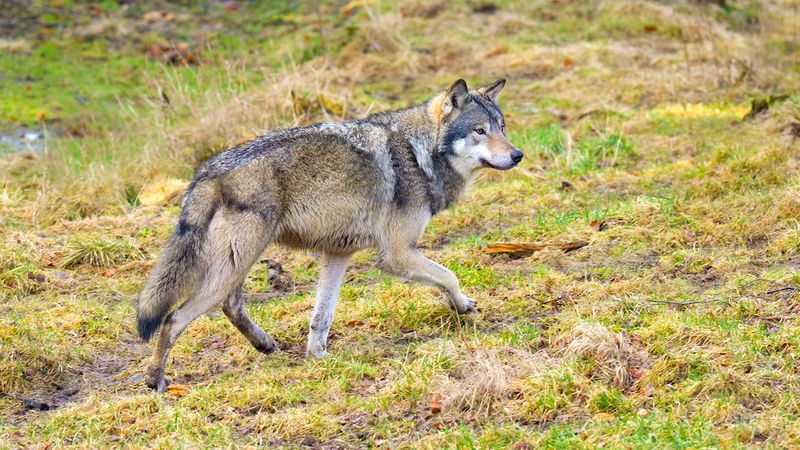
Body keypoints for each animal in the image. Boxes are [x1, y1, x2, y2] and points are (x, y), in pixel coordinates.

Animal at [136, 79, 524, 392]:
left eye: (502, 127)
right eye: (479, 131)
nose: (518, 154)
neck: (420, 154)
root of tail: (207, 171)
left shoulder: (338, 253)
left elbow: (321, 316)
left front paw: (318, 356)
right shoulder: (397, 254)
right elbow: (449, 276)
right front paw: (463, 306)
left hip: (236, 263)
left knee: (231, 306)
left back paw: (265, 345)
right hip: (236, 263)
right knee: (173, 319)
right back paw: (156, 380)